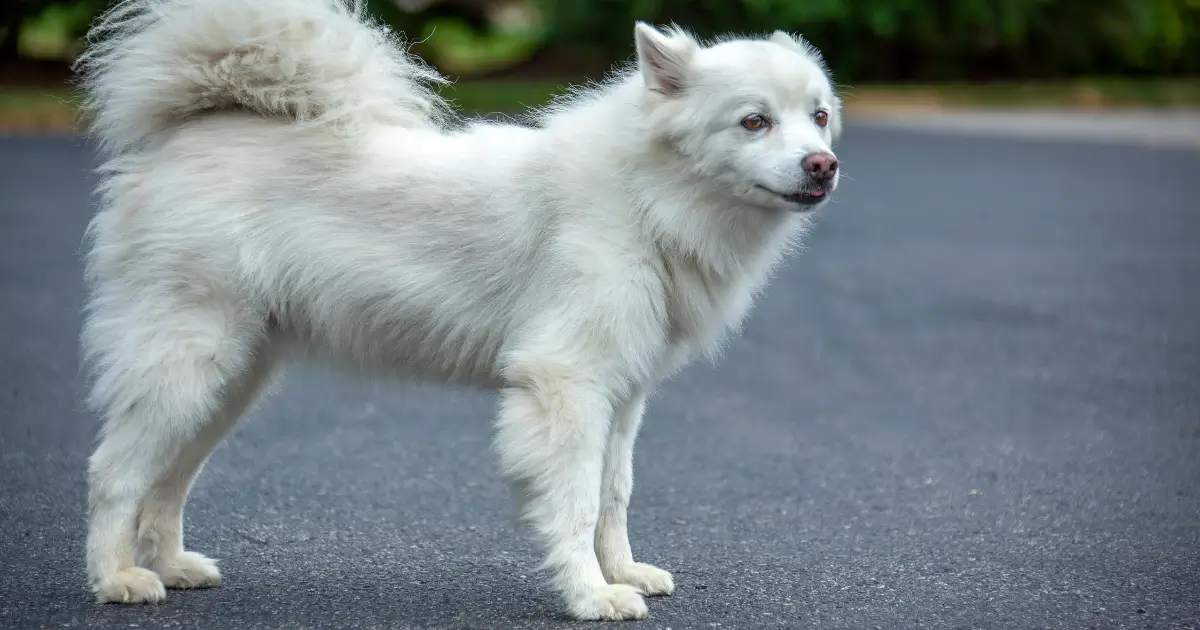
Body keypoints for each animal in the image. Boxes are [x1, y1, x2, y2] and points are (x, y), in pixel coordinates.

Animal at [75, 0, 844, 619]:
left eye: (819, 117)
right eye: (753, 122)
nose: (823, 165)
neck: (646, 198)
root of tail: (195, 130)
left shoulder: (622, 398)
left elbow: (613, 494)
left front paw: (622, 572)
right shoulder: (564, 387)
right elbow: (573, 502)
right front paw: (590, 595)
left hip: (229, 382)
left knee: (167, 480)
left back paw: (171, 566)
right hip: (188, 364)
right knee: (113, 473)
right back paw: (118, 580)